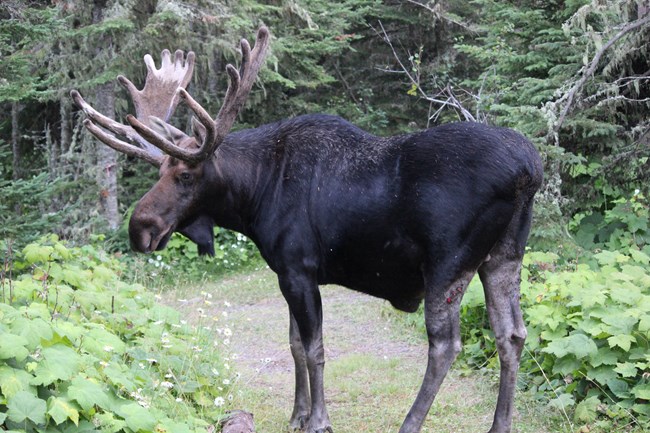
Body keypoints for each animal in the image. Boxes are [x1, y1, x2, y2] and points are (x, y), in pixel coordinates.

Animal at [72, 27, 540, 432]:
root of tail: (528, 170)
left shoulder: (299, 268)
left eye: (186, 175)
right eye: (159, 171)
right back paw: (501, 425)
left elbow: (315, 349)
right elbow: (295, 343)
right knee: (512, 335)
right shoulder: (286, 272)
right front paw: (297, 415)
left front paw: (318, 420)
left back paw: (410, 423)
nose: (140, 228)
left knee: (445, 346)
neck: (256, 193)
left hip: (447, 264)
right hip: (504, 257)